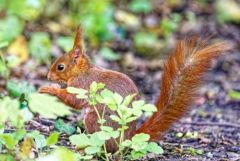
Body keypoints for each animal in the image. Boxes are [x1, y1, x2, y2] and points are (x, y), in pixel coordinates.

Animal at [39, 25, 229, 153]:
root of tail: (128, 139)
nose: (48, 76)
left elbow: (74, 101)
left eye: (60, 67)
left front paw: (48, 89)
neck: (82, 71)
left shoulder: (82, 86)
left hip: (95, 121)